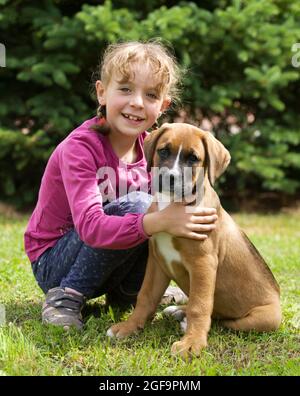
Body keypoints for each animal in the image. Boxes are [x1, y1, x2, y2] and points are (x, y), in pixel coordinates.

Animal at [108, 123, 282, 358]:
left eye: (193, 158)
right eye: (164, 151)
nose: (170, 177)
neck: (173, 204)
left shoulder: (203, 264)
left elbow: (200, 306)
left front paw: (192, 343)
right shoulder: (157, 263)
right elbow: (145, 296)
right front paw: (129, 327)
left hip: (265, 319)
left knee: (225, 321)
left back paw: (186, 321)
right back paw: (179, 311)